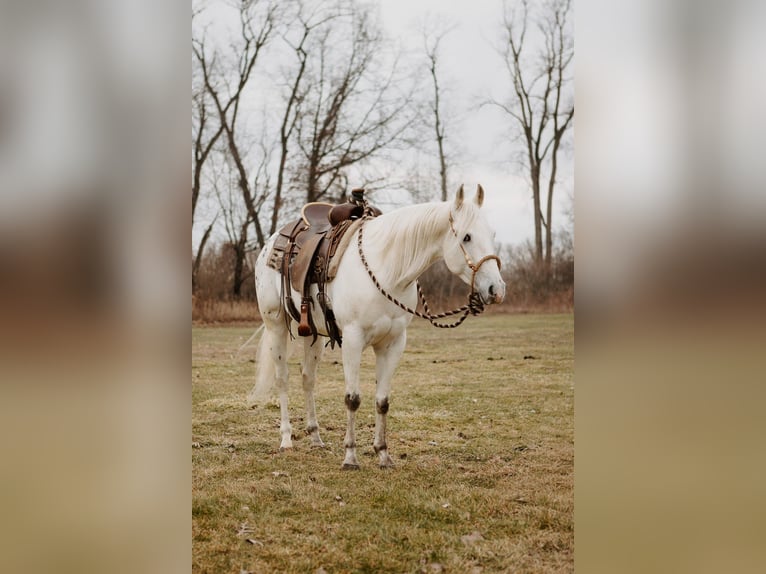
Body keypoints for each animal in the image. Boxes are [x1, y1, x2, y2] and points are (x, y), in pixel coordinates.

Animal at [248, 184, 506, 469]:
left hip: (312, 333)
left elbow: (382, 401)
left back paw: (315, 437)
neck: (387, 270)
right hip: (276, 325)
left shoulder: (393, 343)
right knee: (282, 378)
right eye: (466, 237)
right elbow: (352, 399)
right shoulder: (352, 339)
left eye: (492, 234)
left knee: (308, 378)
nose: (496, 289)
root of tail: (272, 242)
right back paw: (286, 439)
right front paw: (350, 457)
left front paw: (383, 454)